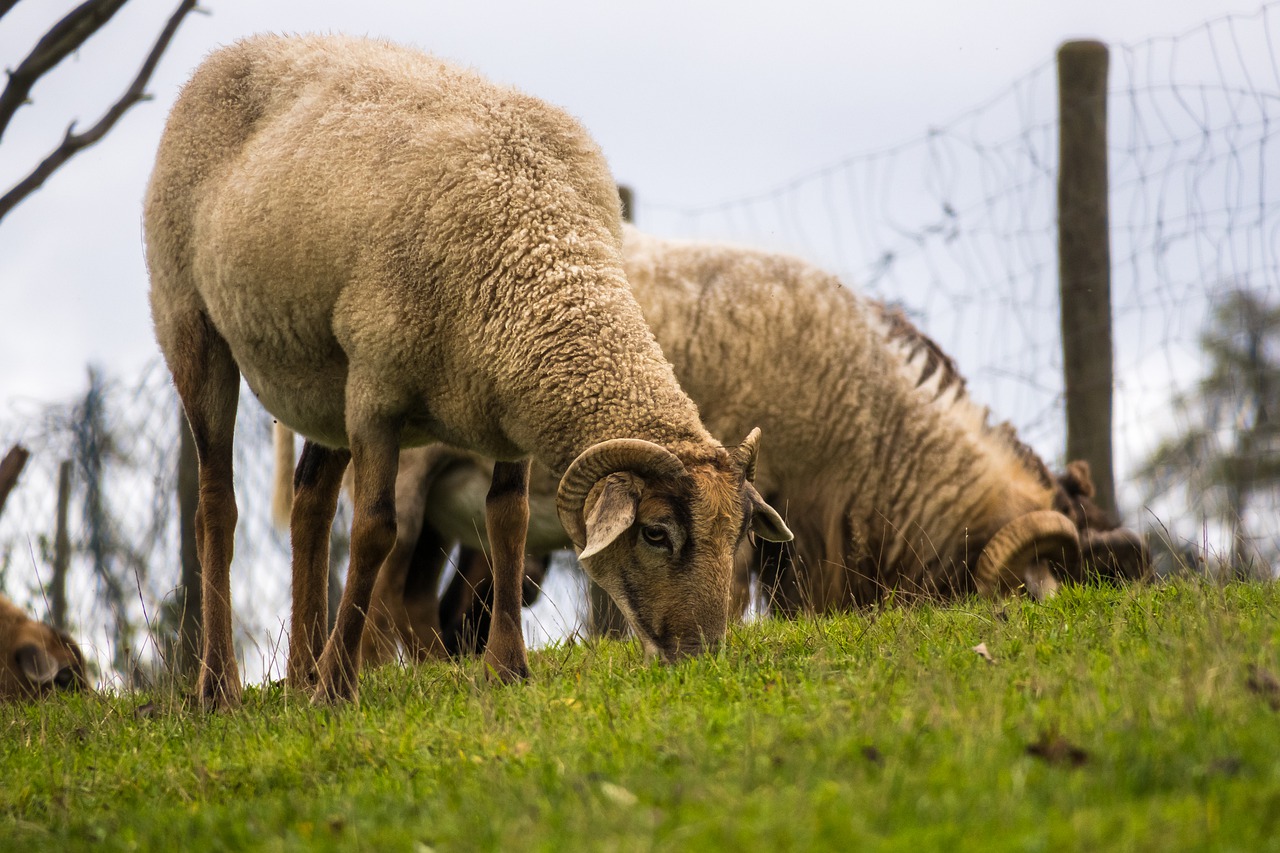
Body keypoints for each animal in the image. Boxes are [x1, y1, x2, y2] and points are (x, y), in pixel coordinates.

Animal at [147, 33, 788, 706]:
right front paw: (340, 687)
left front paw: (506, 668)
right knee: (216, 505)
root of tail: (232, 51)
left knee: (310, 507)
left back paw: (299, 678)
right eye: (656, 532)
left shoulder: (509, 408)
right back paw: (221, 688)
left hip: (325, 384)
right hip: (189, 320)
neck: (537, 246)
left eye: (739, 534)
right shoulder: (375, 394)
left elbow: (508, 522)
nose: (701, 656)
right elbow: (375, 531)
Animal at [296, 224, 1152, 655]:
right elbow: (734, 592)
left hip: (455, 504)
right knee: (383, 597)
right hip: (407, 473)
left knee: (417, 605)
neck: (873, 422)